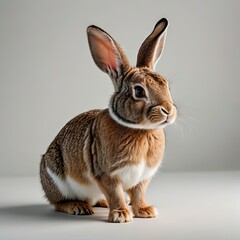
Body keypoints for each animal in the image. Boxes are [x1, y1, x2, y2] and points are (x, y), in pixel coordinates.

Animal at [40, 17, 177, 223]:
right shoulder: (107, 175)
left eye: (166, 85)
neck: (140, 130)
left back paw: (102, 203)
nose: (168, 110)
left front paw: (145, 211)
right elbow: (115, 194)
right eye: (139, 91)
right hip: (55, 177)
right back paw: (78, 207)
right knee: (58, 202)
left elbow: (139, 194)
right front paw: (121, 215)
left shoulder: (143, 177)